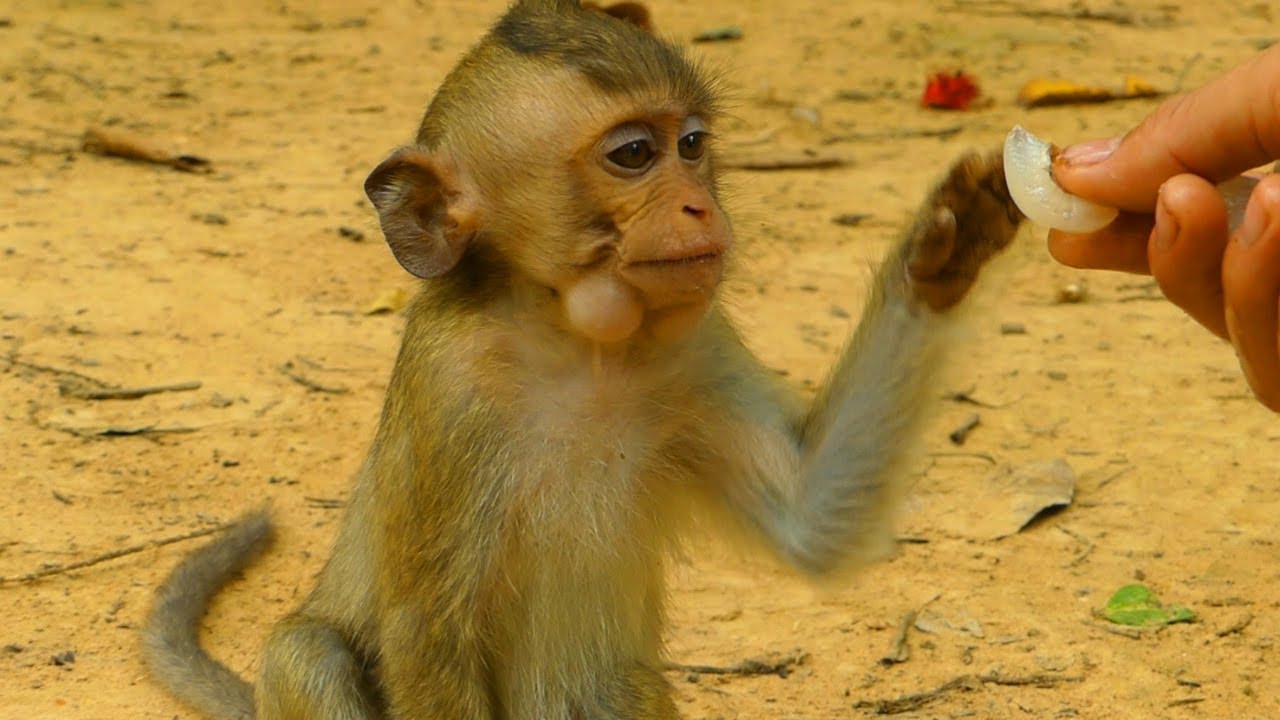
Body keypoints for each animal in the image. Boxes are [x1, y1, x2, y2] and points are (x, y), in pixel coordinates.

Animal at [141, 1, 1023, 719]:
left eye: (692, 144)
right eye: (633, 154)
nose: (700, 206)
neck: (575, 343)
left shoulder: (694, 346)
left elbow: (815, 520)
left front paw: (945, 249)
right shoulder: (451, 385)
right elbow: (428, 634)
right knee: (310, 653)